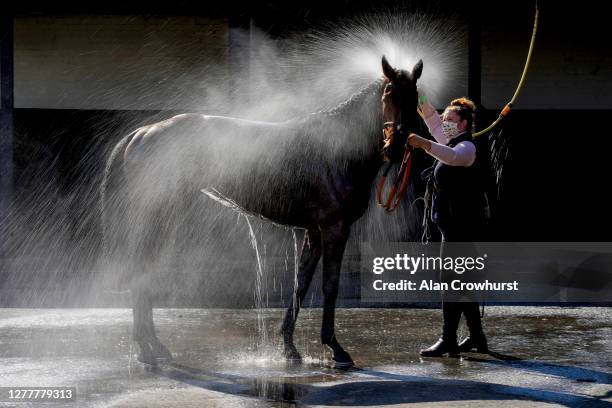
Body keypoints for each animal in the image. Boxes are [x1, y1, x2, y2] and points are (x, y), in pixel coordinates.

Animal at [100, 56, 424, 366]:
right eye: (388, 93)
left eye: (414, 98)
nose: (395, 146)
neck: (339, 148)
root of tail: (141, 134)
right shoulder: (335, 228)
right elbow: (329, 285)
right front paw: (336, 348)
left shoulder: (314, 232)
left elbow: (301, 284)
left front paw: (289, 347)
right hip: (158, 216)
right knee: (142, 271)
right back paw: (148, 347)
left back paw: (151, 346)